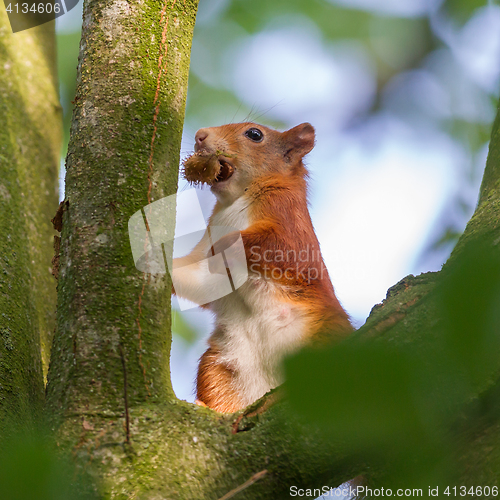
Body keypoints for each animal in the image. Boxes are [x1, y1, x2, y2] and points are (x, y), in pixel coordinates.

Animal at [174, 122, 354, 414]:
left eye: (254, 134)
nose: (200, 135)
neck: (236, 200)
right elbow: (200, 280)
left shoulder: (288, 219)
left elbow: (283, 250)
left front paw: (225, 245)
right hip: (218, 367)